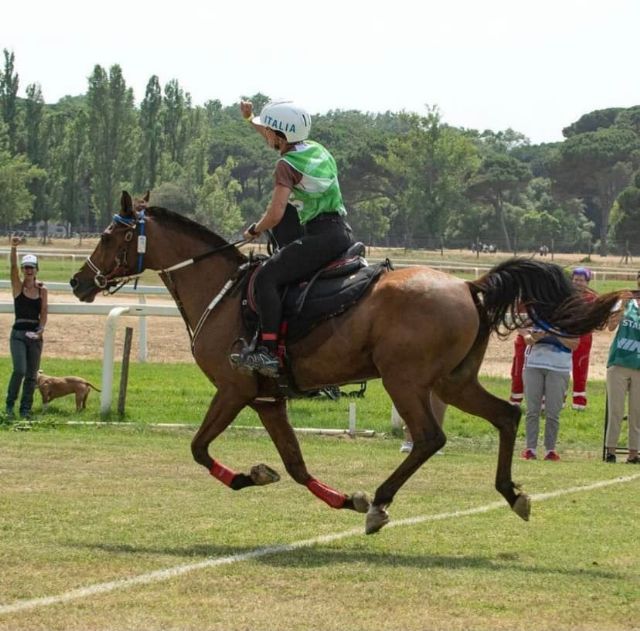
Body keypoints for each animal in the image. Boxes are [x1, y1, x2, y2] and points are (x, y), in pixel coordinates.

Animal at [71, 191, 624, 532]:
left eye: (109, 236)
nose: (78, 282)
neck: (222, 293)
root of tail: (469, 285)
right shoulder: (268, 400)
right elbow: (295, 465)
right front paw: (333, 496)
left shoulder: (234, 391)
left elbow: (199, 449)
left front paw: (249, 477)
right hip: (453, 382)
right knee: (507, 416)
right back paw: (511, 493)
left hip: (406, 381)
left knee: (430, 438)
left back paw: (380, 503)